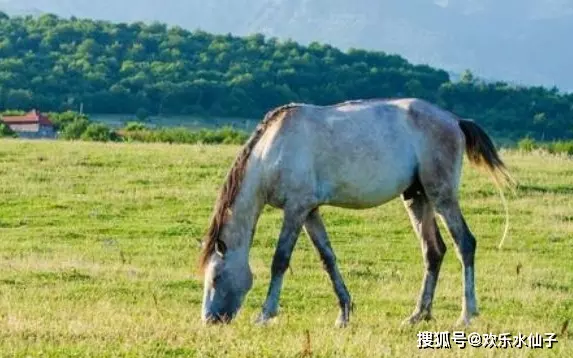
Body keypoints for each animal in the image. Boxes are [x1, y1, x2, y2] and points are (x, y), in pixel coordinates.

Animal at [199, 97, 512, 328]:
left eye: (215, 278)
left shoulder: (296, 209)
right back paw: (418, 315)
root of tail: (455, 120)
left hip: (442, 196)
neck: (271, 151)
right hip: (417, 197)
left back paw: (466, 315)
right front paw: (344, 313)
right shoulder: (310, 211)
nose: (210, 320)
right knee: (433, 251)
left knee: (465, 244)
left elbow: (280, 260)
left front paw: (265, 314)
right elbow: (328, 259)